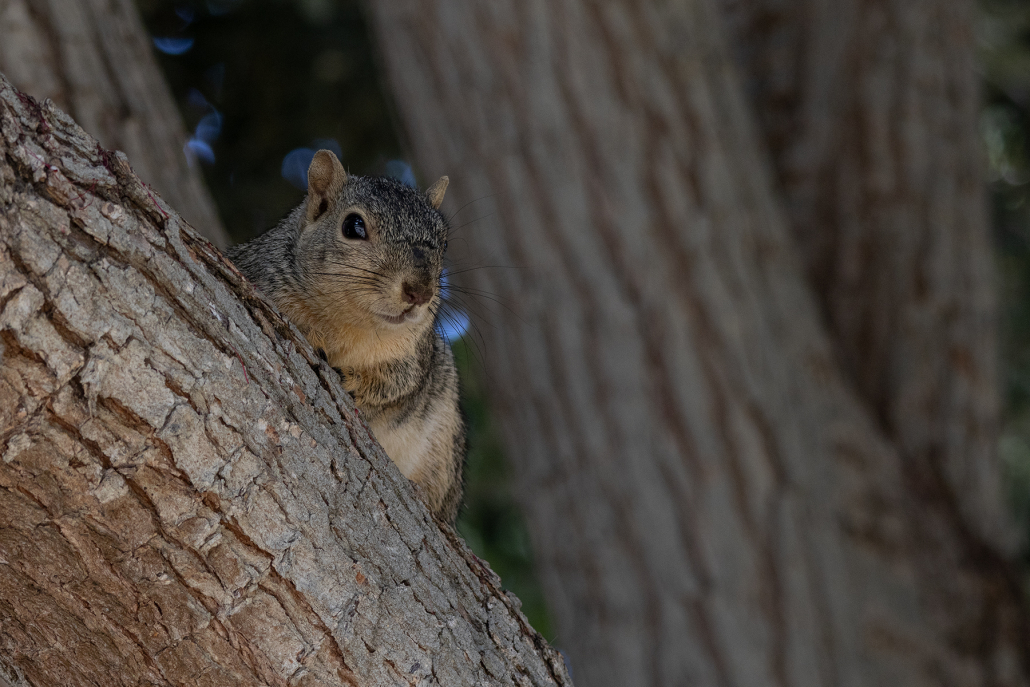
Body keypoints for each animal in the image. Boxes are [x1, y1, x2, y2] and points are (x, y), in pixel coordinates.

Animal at [227, 150, 466, 523]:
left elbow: (397, 385)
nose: (420, 291)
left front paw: (353, 381)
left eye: (443, 243)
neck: (350, 324)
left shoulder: (417, 356)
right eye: (353, 226)